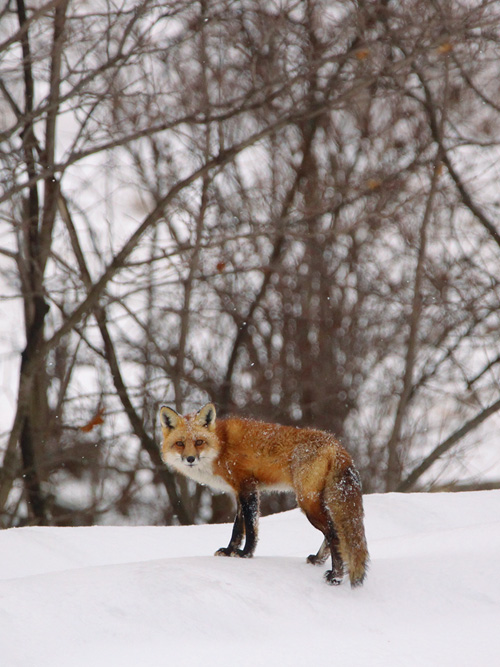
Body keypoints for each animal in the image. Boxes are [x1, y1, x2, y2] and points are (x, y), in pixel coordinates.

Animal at [158, 402, 370, 584]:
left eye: (199, 442)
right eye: (180, 444)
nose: (190, 459)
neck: (222, 445)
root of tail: (336, 444)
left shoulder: (248, 487)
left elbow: (251, 529)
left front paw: (246, 554)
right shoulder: (238, 492)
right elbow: (237, 528)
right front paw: (229, 551)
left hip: (307, 503)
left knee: (334, 535)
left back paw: (335, 576)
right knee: (333, 533)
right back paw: (318, 560)